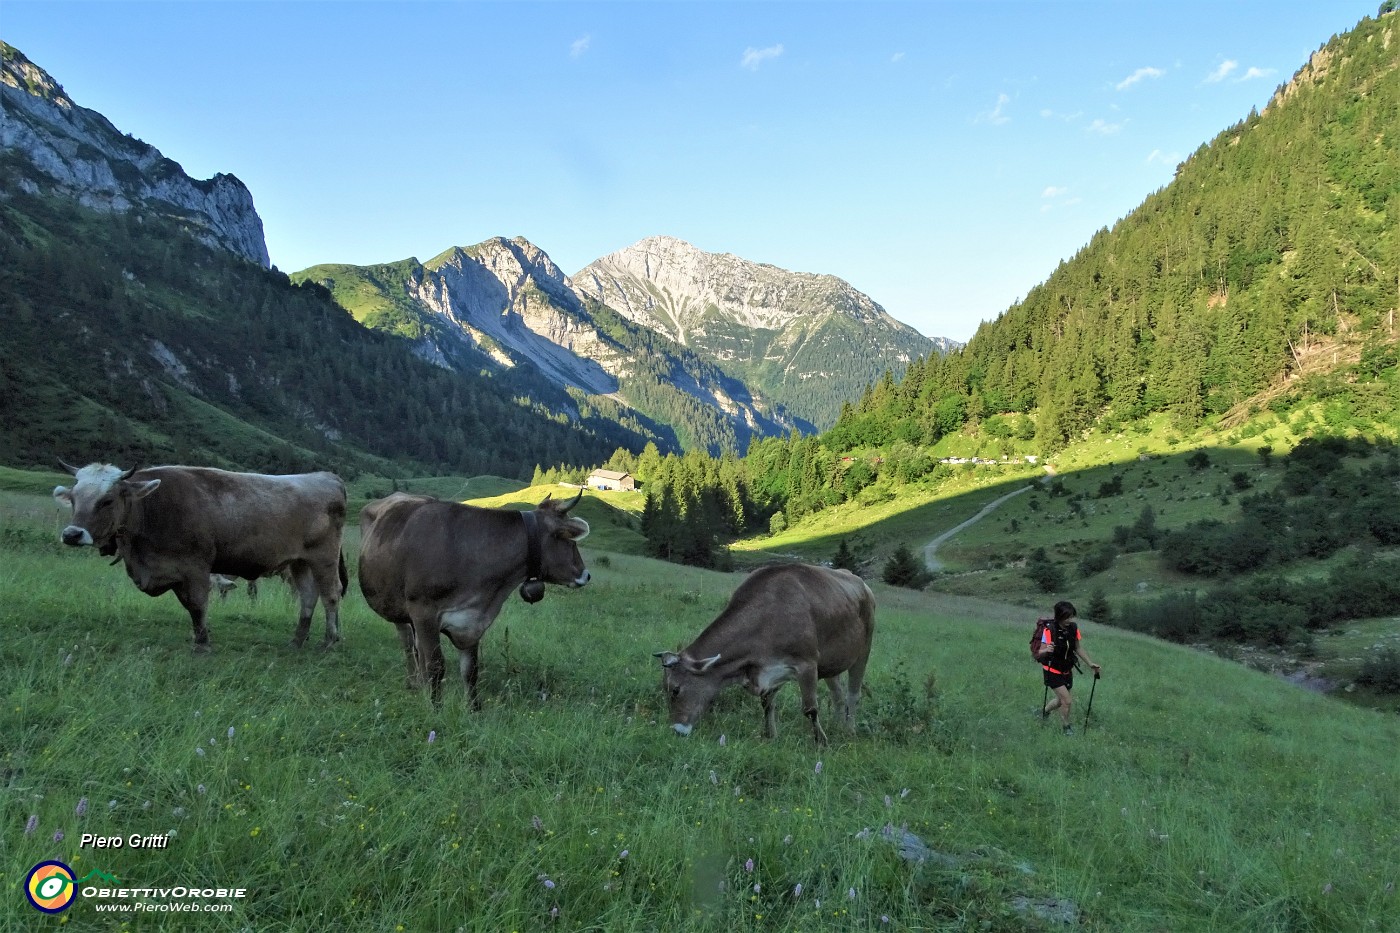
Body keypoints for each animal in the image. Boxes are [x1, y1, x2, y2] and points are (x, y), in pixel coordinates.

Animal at [56, 456, 348, 647]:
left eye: (107, 500)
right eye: (73, 497)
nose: (72, 534)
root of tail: (326, 476)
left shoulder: (196, 567)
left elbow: (197, 604)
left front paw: (203, 642)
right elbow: (188, 605)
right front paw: (199, 634)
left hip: (324, 558)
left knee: (330, 595)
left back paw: (330, 640)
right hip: (300, 561)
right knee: (308, 596)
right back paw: (298, 639)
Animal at [355, 490, 590, 700]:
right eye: (571, 541)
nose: (586, 575)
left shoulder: (472, 620)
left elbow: (470, 671)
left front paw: (473, 711)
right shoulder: (423, 612)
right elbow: (436, 666)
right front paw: (435, 709)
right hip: (398, 606)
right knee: (407, 644)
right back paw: (413, 682)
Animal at [649, 560, 868, 739]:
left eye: (675, 690)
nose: (676, 730)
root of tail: (859, 581)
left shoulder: (807, 664)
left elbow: (810, 709)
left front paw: (821, 742)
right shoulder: (771, 671)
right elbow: (767, 704)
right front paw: (770, 736)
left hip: (863, 650)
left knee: (853, 694)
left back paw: (849, 730)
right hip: (832, 663)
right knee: (838, 694)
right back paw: (838, 726)